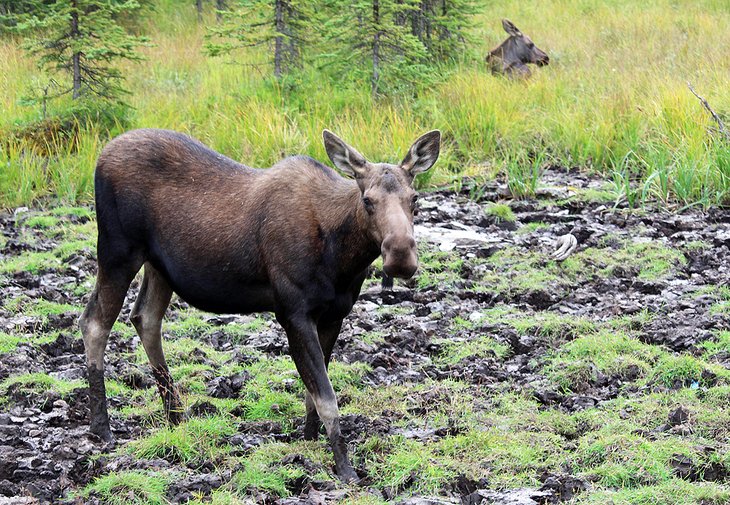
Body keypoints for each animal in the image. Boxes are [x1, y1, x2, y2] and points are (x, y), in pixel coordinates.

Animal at [79, 127, 438, 480]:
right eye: (367, 200)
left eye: (414, 199)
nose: (401, 255)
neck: (342, 257)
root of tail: (101, 156)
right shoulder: (293, 312)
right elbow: (326, 397)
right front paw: (345, 468)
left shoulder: (334, 314)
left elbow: (313, 393)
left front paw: (310, 439)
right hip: (117, 250)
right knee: (94, 322)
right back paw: (102, 428)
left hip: (159, 266)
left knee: (146, 317)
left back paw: (176, 416)